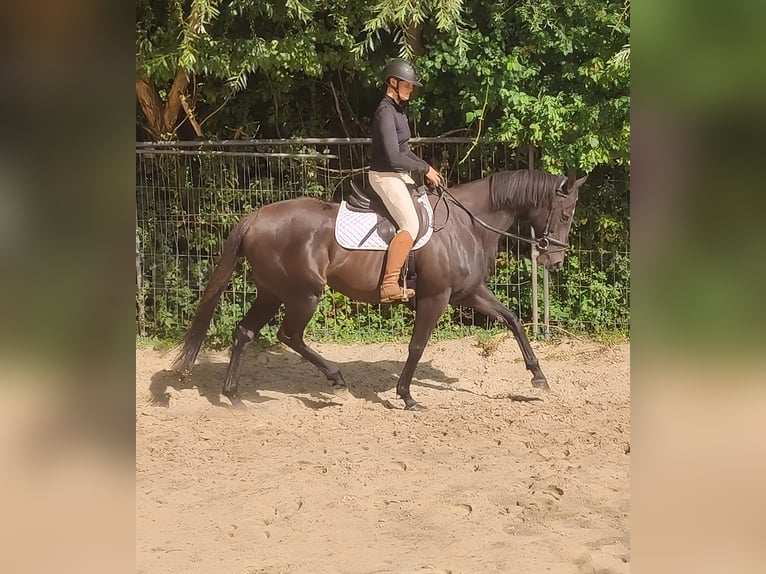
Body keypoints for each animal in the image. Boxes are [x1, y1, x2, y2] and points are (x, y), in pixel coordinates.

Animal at [173, 169, 587, 410]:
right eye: (566, 214)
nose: (554, 262)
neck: (466, 224)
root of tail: (256, 217)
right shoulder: (436, 298)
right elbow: (417, 345)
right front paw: (407, 396)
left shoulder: (469, 292)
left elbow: (514, 320)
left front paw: (538, 377)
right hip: (303, 295)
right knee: (288, 335)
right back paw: (335, 379)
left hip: (272, 293)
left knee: (245, 332)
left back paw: (234, 397)